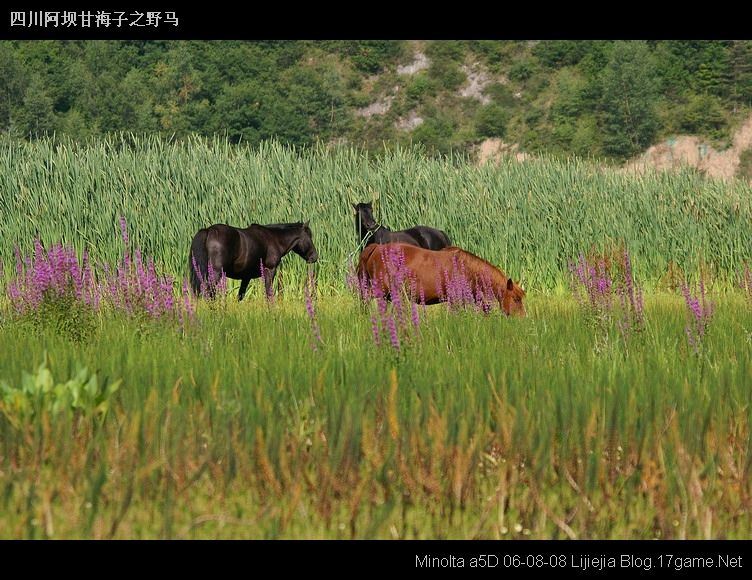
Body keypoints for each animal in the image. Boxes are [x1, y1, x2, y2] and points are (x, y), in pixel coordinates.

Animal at [189, 221, 318, 302]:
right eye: (309, 237)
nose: (314, 257)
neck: (275, 239)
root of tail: (208, 230)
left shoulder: (246, 277)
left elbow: (240, 296)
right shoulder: (270, 270)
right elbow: (269, 293)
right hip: (216, 273)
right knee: (209, 291)